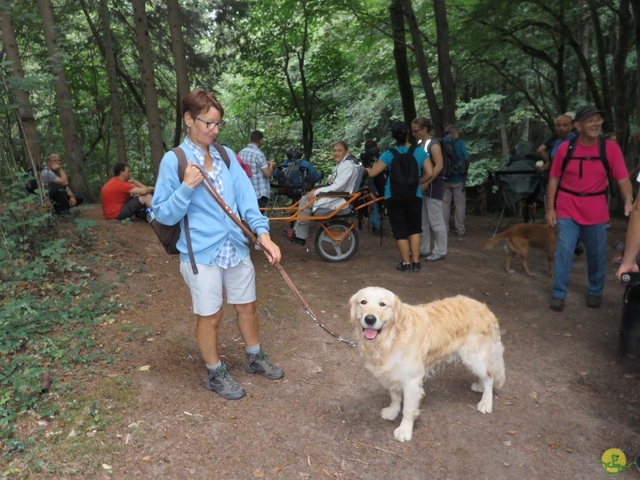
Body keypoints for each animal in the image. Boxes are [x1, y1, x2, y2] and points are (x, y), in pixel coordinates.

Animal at [350, 286, 504, 440]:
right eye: (363, 302)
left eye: (382, 304)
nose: (369, 319)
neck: (391, 338)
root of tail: (485, 308)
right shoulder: (392, 373)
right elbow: (395, 396)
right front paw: (392, 411)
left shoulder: (411, 381)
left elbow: (408, 409)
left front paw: (404, 430)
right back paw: (480, 386)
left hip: (473, 356)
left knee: (489, 377)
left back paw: (486, 403)